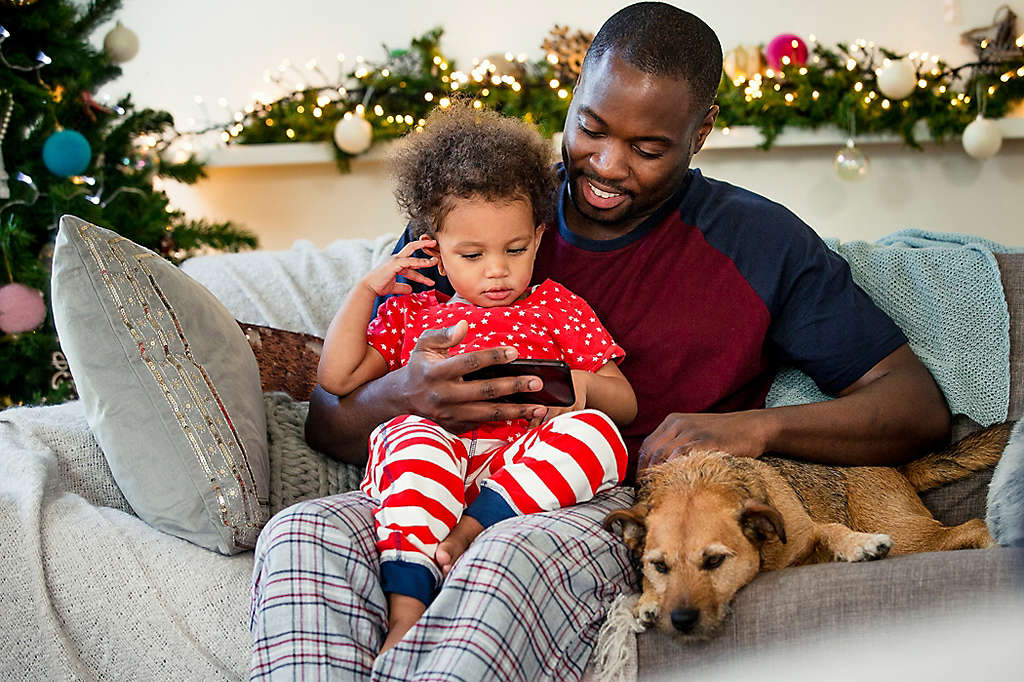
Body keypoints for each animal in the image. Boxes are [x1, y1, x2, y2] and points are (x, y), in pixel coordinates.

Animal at [602, 419, 1011, 638]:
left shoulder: (807, 531)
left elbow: (829, 529)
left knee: (972, 525)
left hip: (910, 538)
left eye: (715, 561)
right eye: (659, 566)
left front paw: (859, 545)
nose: (681, 621)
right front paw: (647, 601)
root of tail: (897, 467)